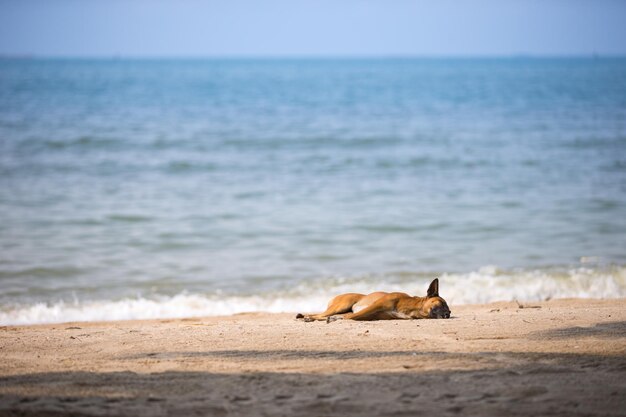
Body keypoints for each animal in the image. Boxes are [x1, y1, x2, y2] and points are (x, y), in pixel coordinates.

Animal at [296, 280, 448, 322]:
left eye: (449, 310)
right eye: (442, 303)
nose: (448, 314)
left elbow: (351, 317)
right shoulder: (375, 306)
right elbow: (349, 317)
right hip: (342, 305)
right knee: (320, 315)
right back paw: (307, 317)